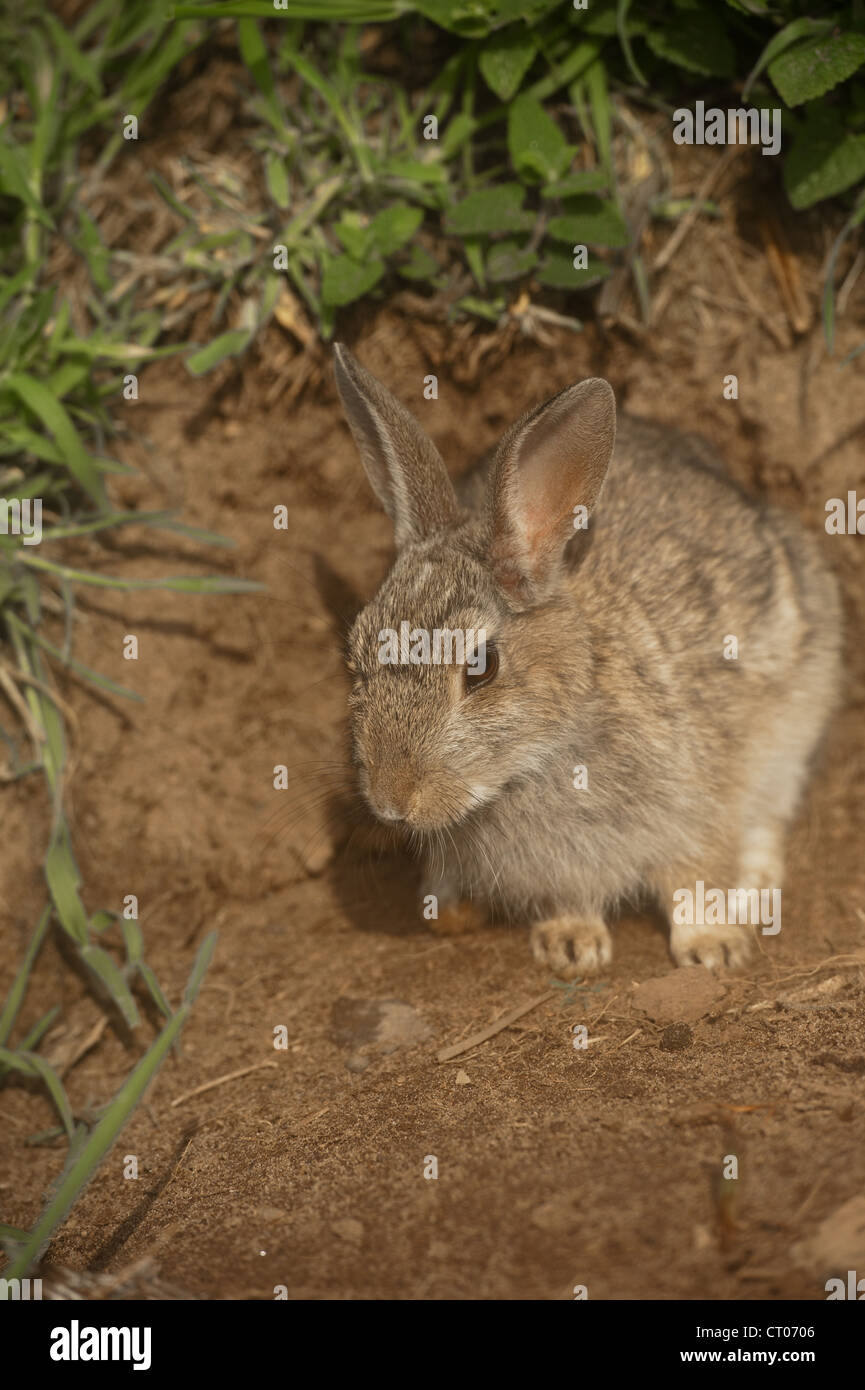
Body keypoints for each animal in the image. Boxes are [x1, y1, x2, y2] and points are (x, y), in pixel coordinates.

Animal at [333, 343, 842, 979]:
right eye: (356, 652)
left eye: (480, 668)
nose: (391, 801)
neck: (536, 759)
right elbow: (572, 899)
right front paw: (572, 944)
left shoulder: (696, 802)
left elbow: (695, 877)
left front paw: (713, 947)